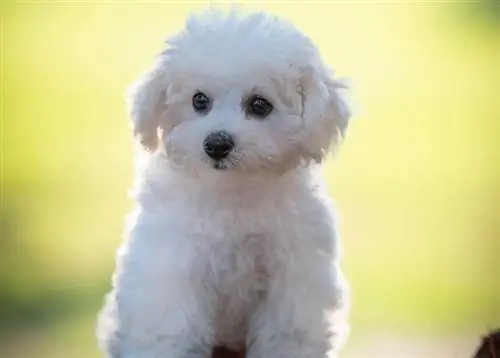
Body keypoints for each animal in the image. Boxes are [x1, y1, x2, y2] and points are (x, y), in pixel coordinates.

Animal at [97, 8, 352, 358]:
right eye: (199, 100)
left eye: (259, 104)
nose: (217, 144)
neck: (232, 192)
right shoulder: (171, 269)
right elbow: (168, 328)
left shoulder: (294, 278)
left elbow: (288, 332)